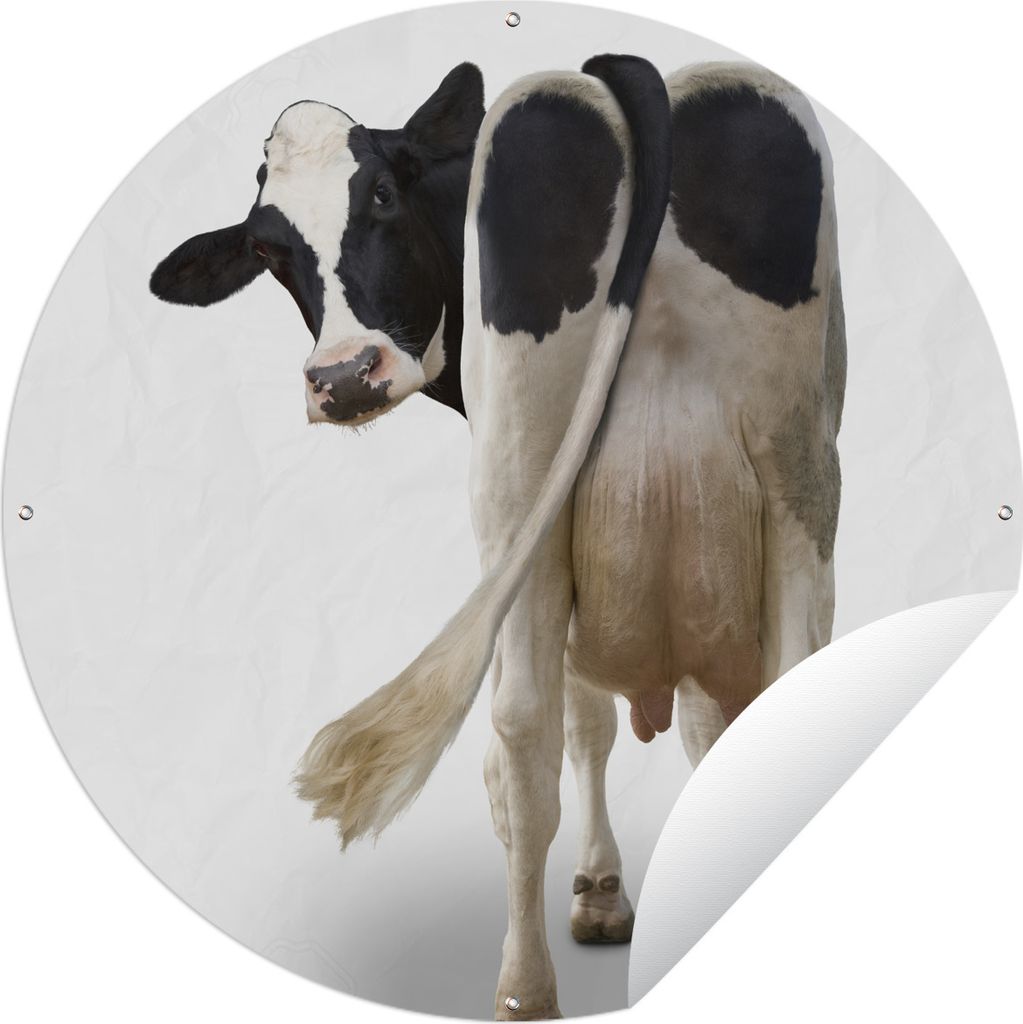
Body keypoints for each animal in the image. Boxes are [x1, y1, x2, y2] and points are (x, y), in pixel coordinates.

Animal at [151, 55, 844, 1020]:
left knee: (520, 734)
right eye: (265, 249)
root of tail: (626, 74)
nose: (343, 376)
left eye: (382, 196)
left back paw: (523, 988)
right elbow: (665, 727)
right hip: (795, 475)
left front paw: (598, 895)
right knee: (784, 680)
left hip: (518, 479)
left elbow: (575, 726)